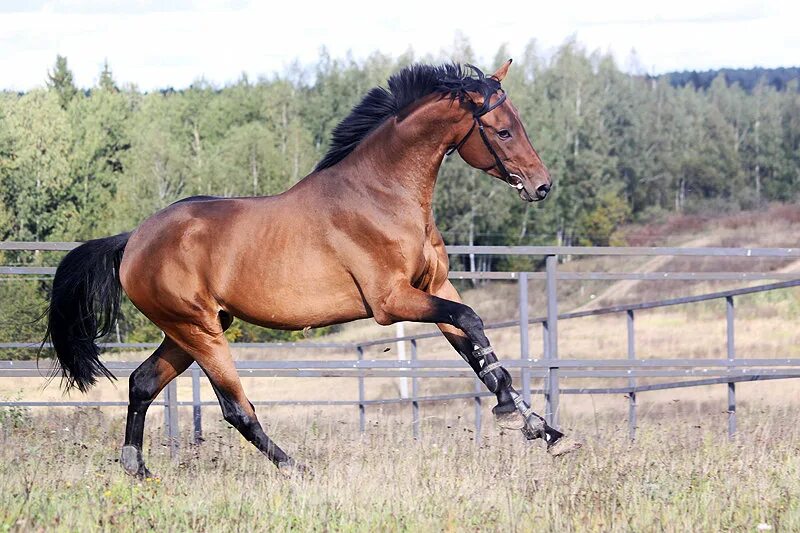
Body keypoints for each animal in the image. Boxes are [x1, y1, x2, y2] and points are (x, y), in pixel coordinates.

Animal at [43, 59, 580, 478]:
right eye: (503, 130)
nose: (542, 185)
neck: (383, 194)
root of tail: (133, 239)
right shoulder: (391, 301)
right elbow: (473, 323)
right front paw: (512, 413)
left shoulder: (436, 287)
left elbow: (478, 348)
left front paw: (545, 430)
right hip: (198, 331)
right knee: (236, 408)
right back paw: (295, 468)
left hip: (191, 330)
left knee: (141, 383)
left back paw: (137, 470)